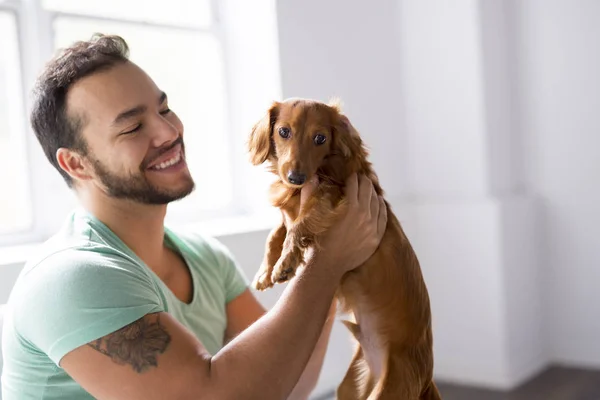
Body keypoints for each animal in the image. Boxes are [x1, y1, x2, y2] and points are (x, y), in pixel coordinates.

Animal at [247, 97, 440, 400]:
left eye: (320, 138)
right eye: (283, 131)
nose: (296, 177)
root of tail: (426, 377)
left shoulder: (330, 195)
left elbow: (297, 226)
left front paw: (286, 262)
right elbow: (276, 231)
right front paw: (265, 270)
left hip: (391, 389)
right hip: (349, 385)